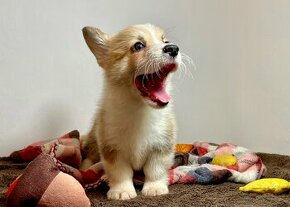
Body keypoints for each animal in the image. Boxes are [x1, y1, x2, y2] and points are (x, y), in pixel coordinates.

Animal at [81, 23, 180, 200]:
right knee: (88, 159)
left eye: (165, 41)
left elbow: (155, 170)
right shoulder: (112, 149)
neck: (139, 109)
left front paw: (155, 188)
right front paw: (122, 191)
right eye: (138, 46)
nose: (173, 48)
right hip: (93, 141)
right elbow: (120, 172)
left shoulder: (161, 146)